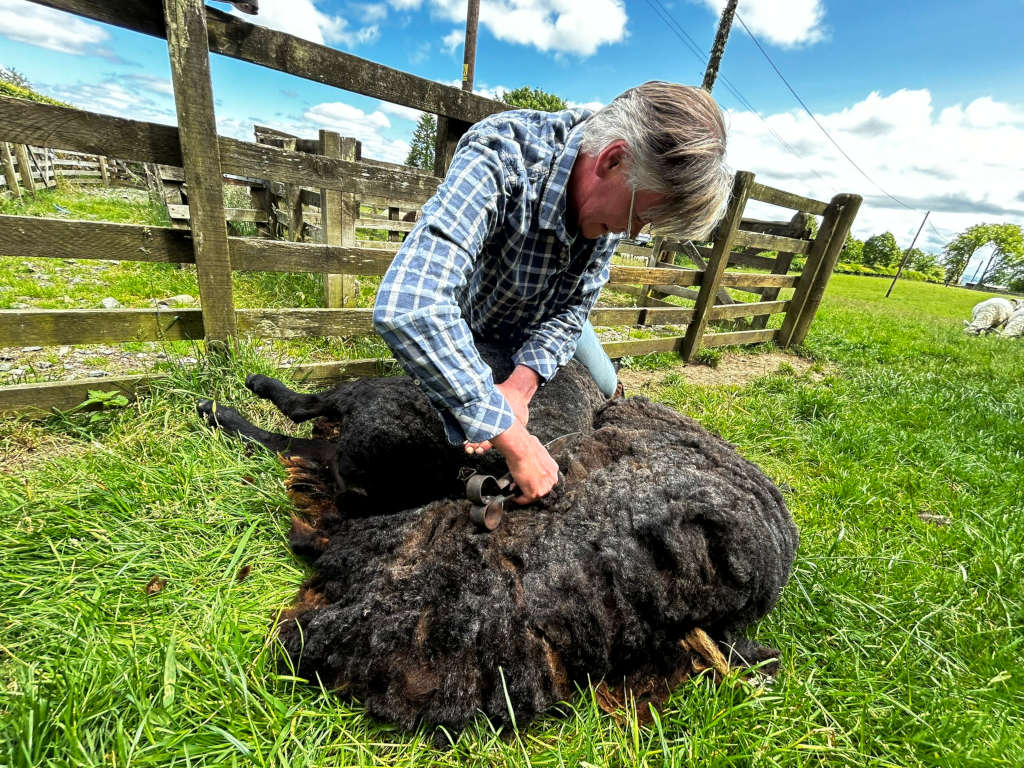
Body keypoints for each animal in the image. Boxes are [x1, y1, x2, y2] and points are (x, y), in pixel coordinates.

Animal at [197, 348, 798, 735]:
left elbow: (302, 412)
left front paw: (241, 401)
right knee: (302, 441)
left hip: (371, 411)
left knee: (300, 421)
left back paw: (228, 406)